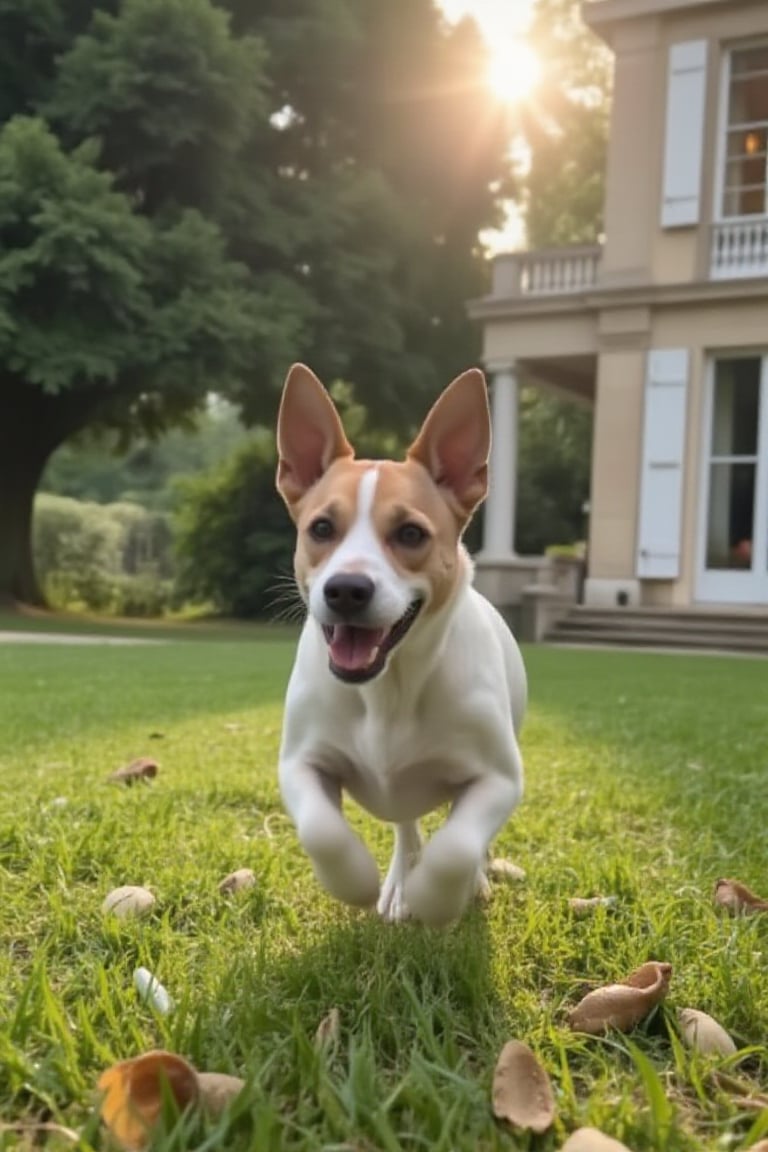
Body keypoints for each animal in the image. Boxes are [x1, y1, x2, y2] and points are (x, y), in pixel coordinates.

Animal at [276, 364, 529, 921]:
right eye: (321, 528)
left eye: (411, 534)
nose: (346, 589)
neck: (389, 688)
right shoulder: (300, 761)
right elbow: (322, 830)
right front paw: (357, 881)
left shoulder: (498, 779)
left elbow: (457, 847)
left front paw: (436, 897)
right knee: (405, 824)